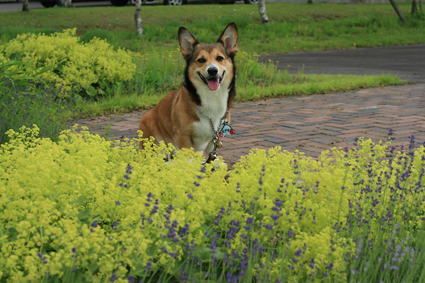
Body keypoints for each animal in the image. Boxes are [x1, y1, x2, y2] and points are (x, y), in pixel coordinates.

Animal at [139, 22, 238, 160]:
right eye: (201, 60)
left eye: (219, 58)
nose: (212, 70)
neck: (211, 97)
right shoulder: (183, 136)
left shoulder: (212, 140)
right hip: (150, 128)